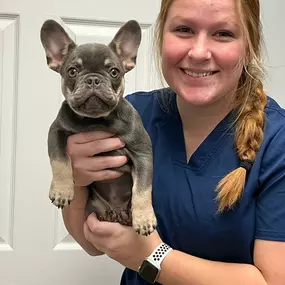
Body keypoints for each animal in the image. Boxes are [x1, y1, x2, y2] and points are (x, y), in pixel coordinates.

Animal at [39, 18, 156, 234]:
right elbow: (60, 160)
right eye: (72, 71)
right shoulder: (56, 131)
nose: (93, 79)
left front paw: (144, 218)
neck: (96, 120)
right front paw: (62, 190)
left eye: (114, 72)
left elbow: (143, 188)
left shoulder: (142, 153)